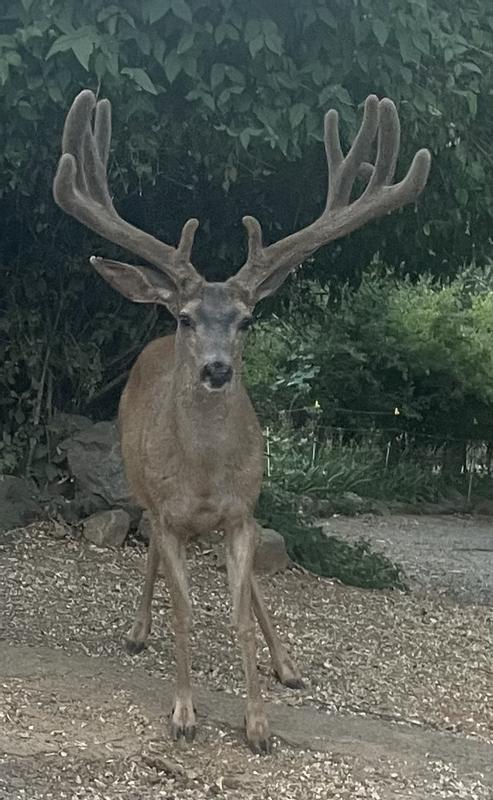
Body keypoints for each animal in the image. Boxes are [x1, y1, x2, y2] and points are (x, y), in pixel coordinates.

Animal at [53, 89, 430, 753]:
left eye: (248, 319)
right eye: (184, 317)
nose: (216, 368)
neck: (203, 478)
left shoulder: (240, 511)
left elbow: (239, 610)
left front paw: (258, 723)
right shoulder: (168, 514)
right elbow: (183, 609)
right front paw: (183, 713)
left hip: (249, 509)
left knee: (251, 584)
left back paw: (288, 666)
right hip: (138, 483)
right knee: (151, 556)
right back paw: (137, 630)